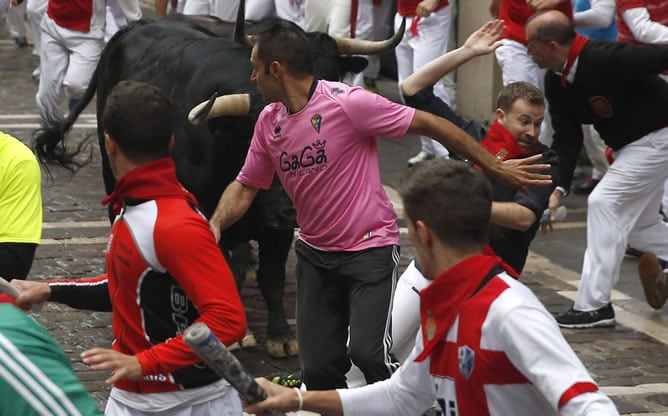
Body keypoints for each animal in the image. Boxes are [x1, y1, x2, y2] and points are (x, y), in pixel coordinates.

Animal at [32, 13, 402, 358]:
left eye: (333, 71)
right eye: (255, 141)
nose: (290, 210)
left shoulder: (277, 228)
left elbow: (272, 277)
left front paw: (281, 335)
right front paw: (239, 334)